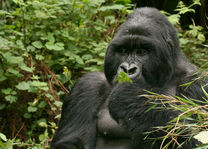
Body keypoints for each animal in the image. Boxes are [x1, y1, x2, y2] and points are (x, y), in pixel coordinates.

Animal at [50, 7, 208, 149]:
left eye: (141, 52)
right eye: (123, 51)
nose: (127, 69)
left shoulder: (197, 84)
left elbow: (196, 137)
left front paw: (131, 98)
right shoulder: (87, 86)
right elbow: (71, 142)